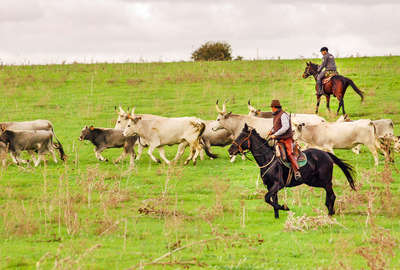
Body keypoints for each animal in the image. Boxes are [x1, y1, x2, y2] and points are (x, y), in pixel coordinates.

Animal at [228, 124, 356, 219]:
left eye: (241, 137)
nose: (230, 150)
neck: (268, 159)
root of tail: (326, 154)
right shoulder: (270, 186)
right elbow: (272, 199)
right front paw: (277, 216)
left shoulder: (278, 184)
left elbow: (267, 198)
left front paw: (284, 207)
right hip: (314, 181)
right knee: (328, 194)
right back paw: (330, 210)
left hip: (325, 180)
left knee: (332, 195)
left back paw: (330, 214)